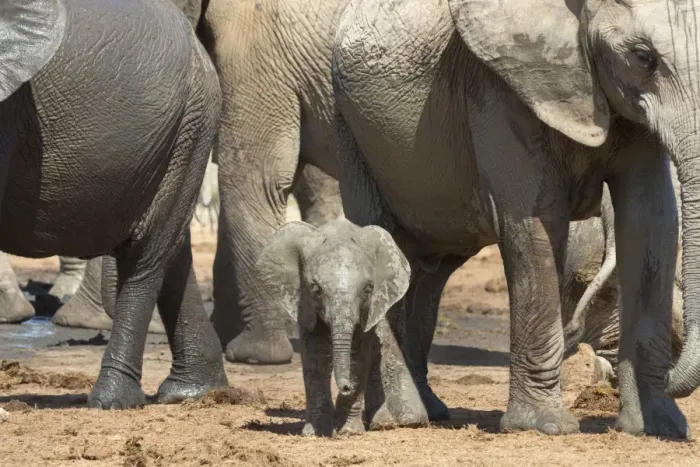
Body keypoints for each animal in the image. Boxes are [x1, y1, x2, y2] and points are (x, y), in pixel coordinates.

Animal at [256, 219, 428, 436]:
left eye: (368, 289)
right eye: (315, 289)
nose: (345, 387)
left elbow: (358, 356)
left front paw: (349, 431)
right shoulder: (305, 305)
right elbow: (316, 357)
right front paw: (316, 432)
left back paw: (388, 423)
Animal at [332, 0, 700, 437]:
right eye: (644, 58)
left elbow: (652, 221)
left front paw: (658, 426)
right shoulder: (497, 88)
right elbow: (536, 221)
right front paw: (544, 427)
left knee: (427, 271)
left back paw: (430, 411)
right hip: (350, 132)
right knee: (381, 239)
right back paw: (400, 419)